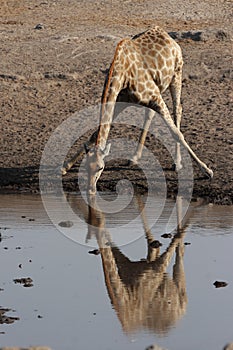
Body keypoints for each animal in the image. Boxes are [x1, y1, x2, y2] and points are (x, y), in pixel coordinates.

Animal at [61, 25, 213, 194]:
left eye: (101, 168)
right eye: (86, 167)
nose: (91, 190)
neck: (122, 74)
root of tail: (166, 35)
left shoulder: (155, 97)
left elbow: (176, 133)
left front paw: (207, 171)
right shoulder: (120, 101)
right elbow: (95, 134)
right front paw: (65, 167)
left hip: (176, 74)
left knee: (177, 109)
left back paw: (177, 162)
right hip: (157, 89)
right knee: (150, 115)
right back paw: (134, 157)